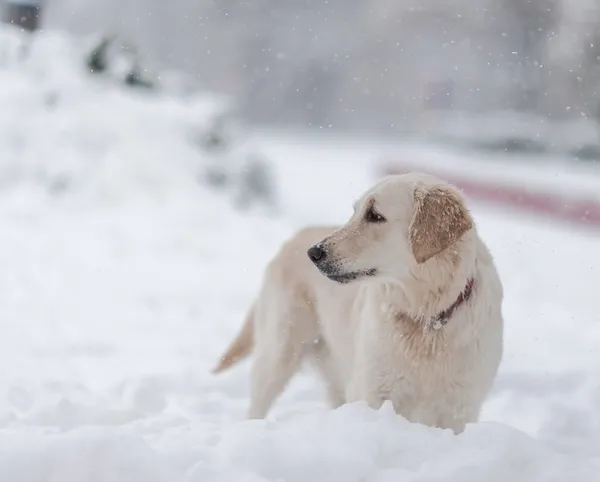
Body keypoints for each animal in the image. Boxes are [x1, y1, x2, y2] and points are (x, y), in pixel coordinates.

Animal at [213, 172, 504, 434]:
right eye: (355, 212)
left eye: (374, 215)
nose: (313, 253)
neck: (426, 317)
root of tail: (294, 238)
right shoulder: (371, 393)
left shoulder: (459, 410)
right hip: (279, 352)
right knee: (257, 405)